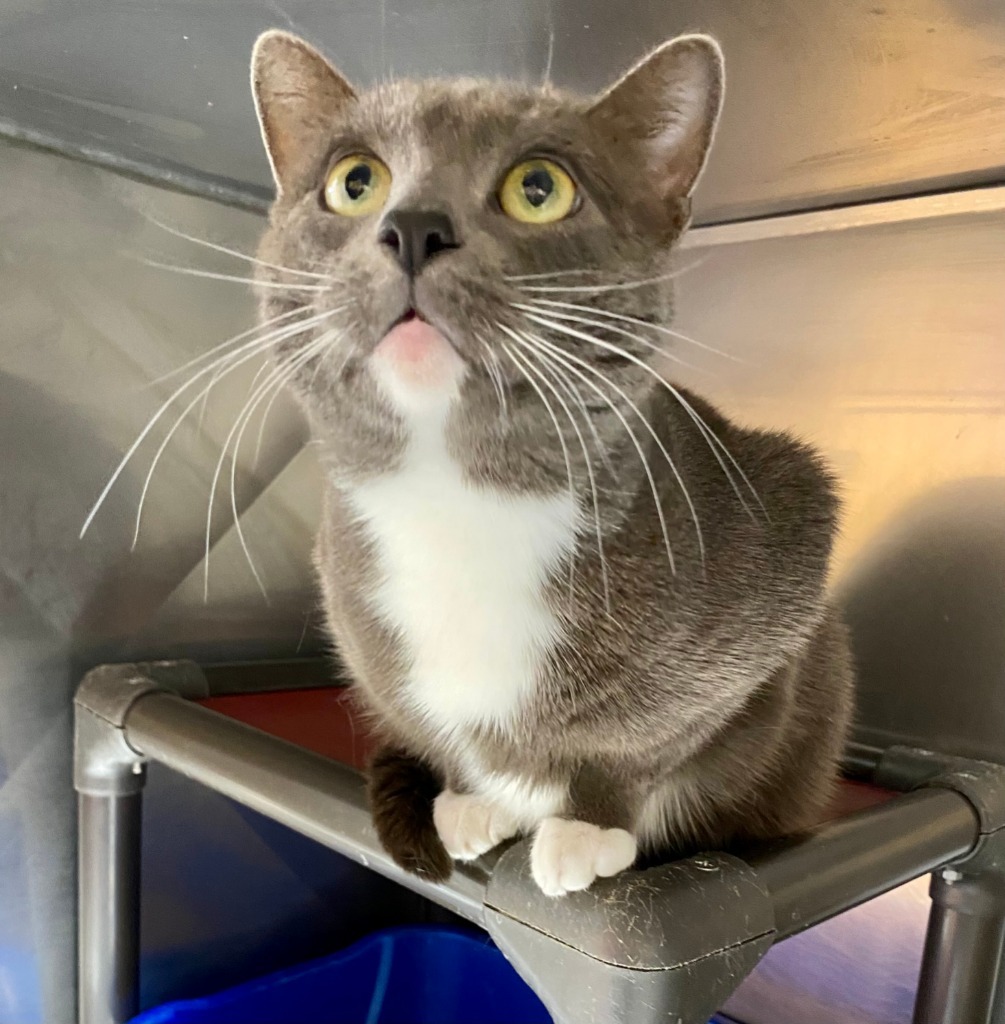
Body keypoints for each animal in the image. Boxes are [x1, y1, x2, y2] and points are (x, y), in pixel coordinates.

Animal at [246, 29, 852, 897]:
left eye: (539, 188)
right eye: (354, 180)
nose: (414, 226)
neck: (455, 504)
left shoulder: (780, 560)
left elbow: (646, 739)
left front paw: (586, 829)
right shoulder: (367, 638)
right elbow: (438, 731)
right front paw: (468, 803)